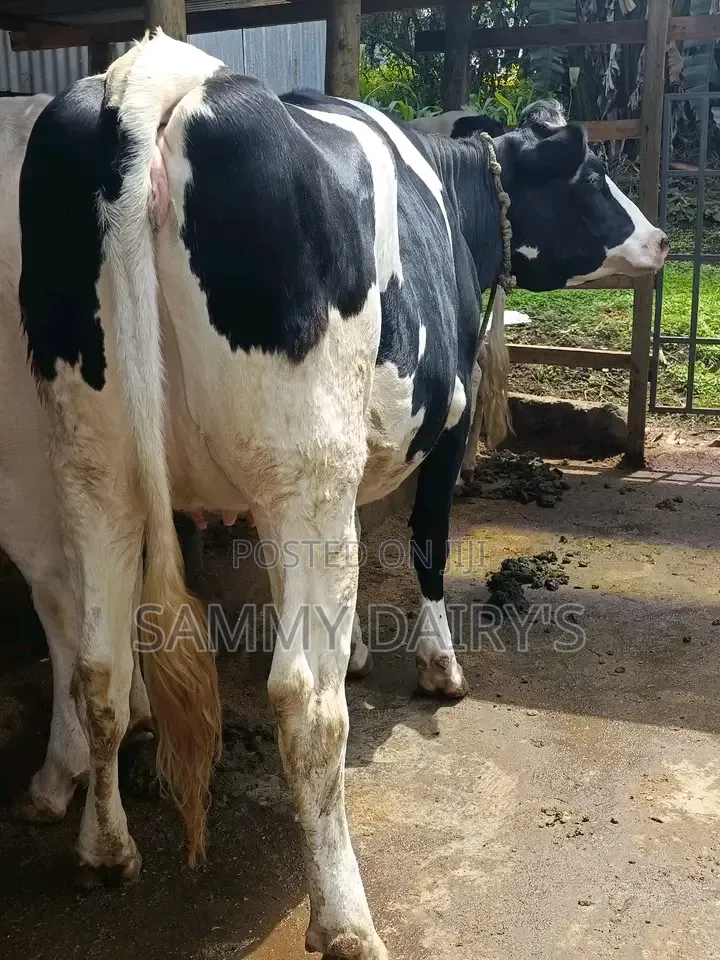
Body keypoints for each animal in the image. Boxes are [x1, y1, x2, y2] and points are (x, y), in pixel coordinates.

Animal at [18, 33, 667, 957]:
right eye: (586, 175)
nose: (659, 238)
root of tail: (156, 76)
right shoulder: (446, 421)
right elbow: (427, 544)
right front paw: (439, 667)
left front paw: (358, 648)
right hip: (301, 468)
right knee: (303, 702)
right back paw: (345, 917)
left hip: (93, 462)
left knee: (100, 667)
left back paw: (105, 851)